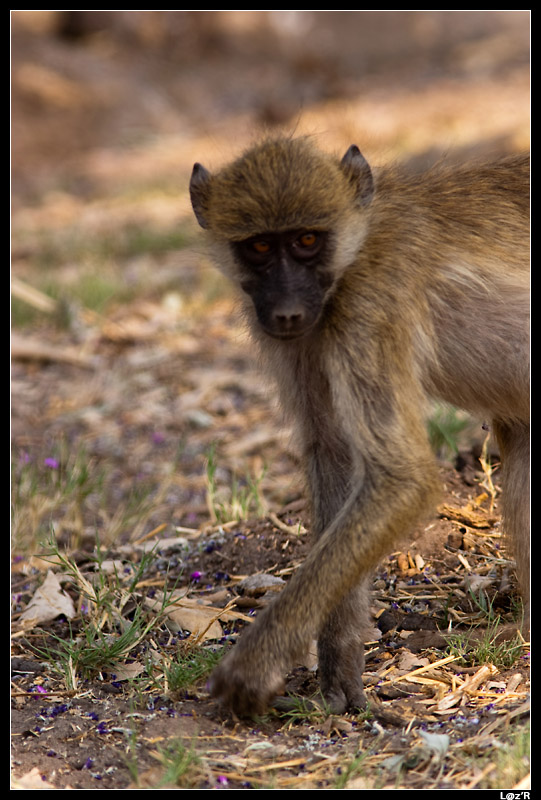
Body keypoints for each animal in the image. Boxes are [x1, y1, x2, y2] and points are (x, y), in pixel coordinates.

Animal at [189, 137, 530, 717]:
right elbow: (333, 452)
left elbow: (401, 477)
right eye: (259, 247)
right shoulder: (310, 333)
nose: (286, 312)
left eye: (306, 240)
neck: (356, 248)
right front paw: (339, 665)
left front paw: (255, 664)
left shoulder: (370, 303)